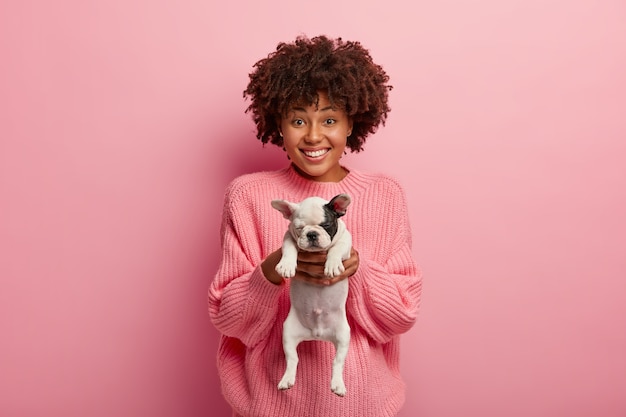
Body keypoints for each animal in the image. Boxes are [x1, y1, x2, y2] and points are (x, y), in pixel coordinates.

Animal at [270, 193, 352, 394]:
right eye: (300, 228)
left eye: (326, 225)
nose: (312, 234)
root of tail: (317, 333)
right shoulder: (288, 237)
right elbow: (289, 248)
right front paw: (286, 265)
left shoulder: (346, 239)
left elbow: (337, 248)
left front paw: (332, 264)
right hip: (288, 333)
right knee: (293, 359)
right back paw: (287, 379)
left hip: (343, 335)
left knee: (337, 362)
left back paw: (338, 384)